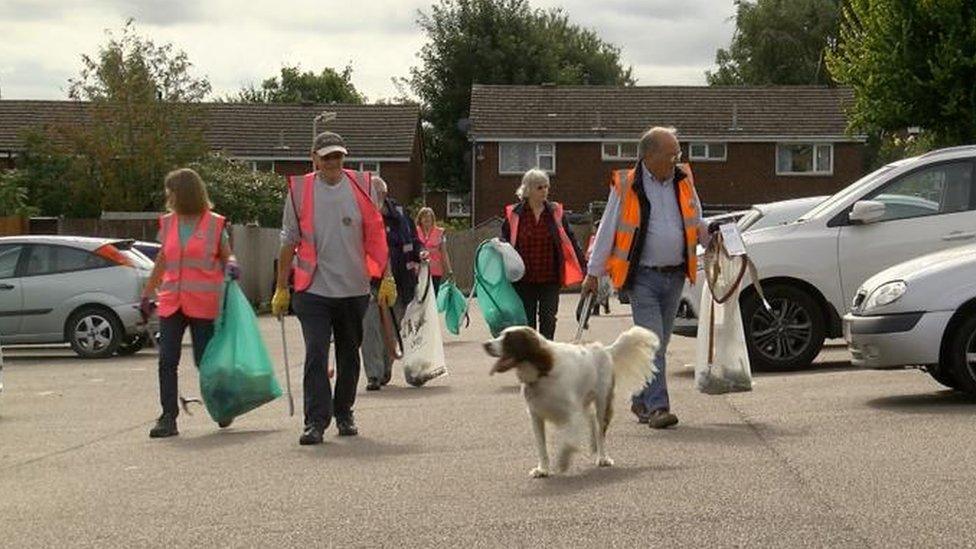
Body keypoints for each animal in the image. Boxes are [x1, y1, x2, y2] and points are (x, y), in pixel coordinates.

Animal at [484, 326, 660, 476]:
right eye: (500, 334)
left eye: (509, 339)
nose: (486, 344)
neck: (543, 373)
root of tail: (604, 349)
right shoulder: (536, 416)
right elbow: (542, 446)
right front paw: (543, 469)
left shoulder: (572, 414)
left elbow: (568, 442)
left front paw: (562, 462)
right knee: (591, 419)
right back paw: (593, 445)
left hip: (603, 401)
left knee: (600, 431)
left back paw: (602, 457)